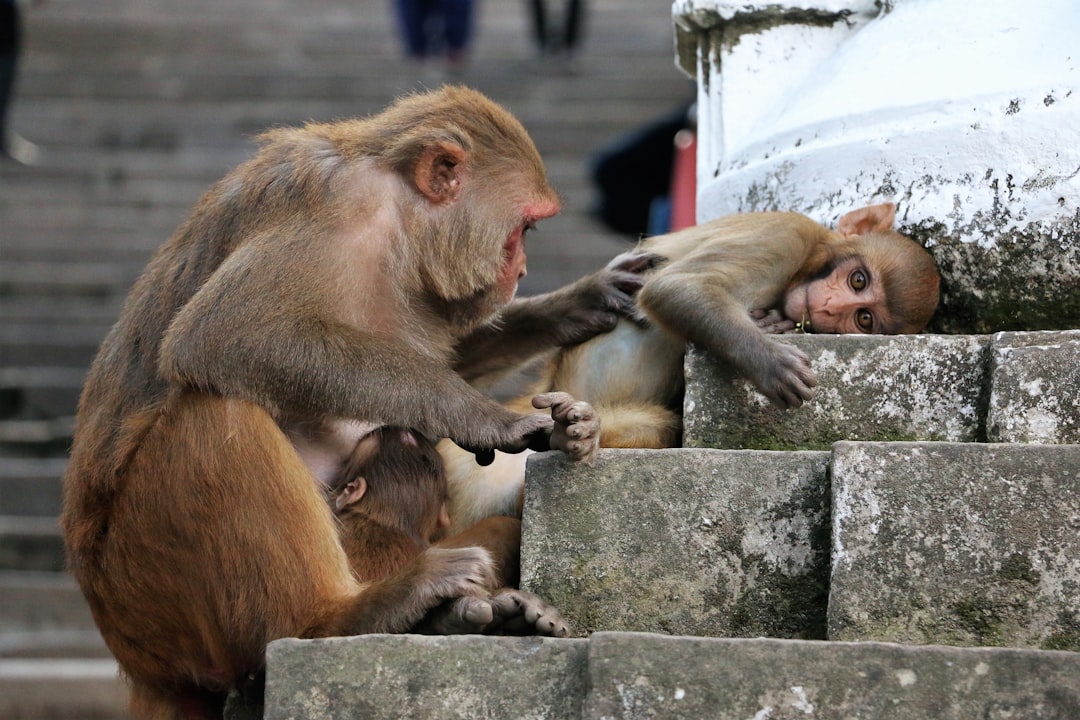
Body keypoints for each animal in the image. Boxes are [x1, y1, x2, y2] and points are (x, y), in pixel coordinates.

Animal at [60, 85, 636, 719]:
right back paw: (335, 619)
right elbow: (224, 334)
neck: (396, 215)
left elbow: (447, 356)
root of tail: (137, 661)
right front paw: (484, 416)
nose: (522, 270)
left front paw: (574, 311)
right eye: (526, 227)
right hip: (145, 589)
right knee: (215, 409)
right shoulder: (335, 209)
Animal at [440, 203, 941, 533]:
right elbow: (678, 288)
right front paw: (771, 363)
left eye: (864, 318)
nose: (833, 307)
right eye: (857, 280)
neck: (809, 262)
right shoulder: (785, 235)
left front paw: (777, 324)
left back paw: (575, 434)